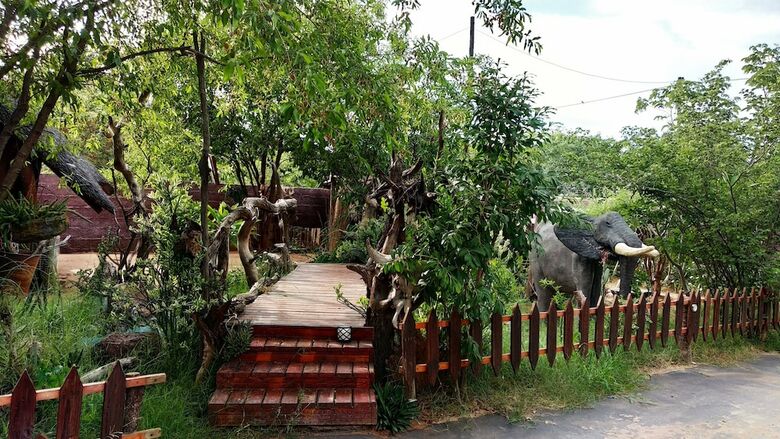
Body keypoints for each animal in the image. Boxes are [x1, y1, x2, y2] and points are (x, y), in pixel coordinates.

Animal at [529, 212, 659, 309]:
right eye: (608, 224)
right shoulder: (579, 258)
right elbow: (585, 290)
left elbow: (595, 291)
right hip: (535, 257)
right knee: (543, 292)